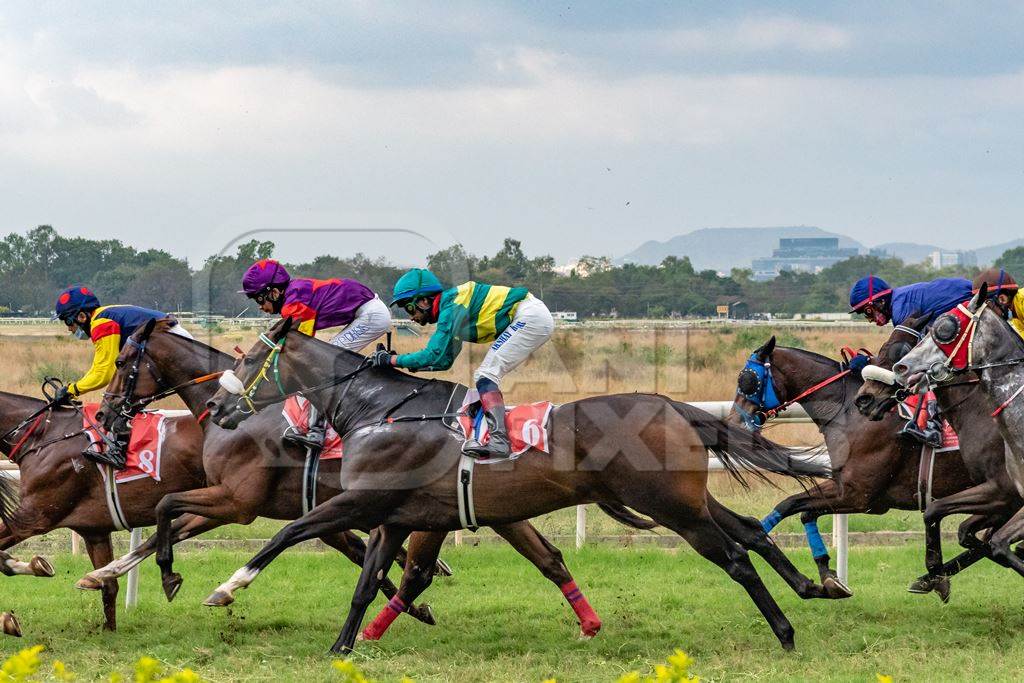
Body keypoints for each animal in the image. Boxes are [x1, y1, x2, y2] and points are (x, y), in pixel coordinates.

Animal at [79, 321, 655, 643]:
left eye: (124, 361)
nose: (104, 414)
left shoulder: (240, 502)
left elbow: (168, 511)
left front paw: (181, 580)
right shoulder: (257, 504)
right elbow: (165, 524)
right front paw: (105, 572)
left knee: (434, 567)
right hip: (496, 509)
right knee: (547, 557)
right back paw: (587, 623)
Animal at [199, 317, 847, 655]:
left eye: (250, 357)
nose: (214, 407)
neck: (379, 410)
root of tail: (671, 404)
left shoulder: (363, 500)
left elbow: (287, 534)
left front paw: (226, 589)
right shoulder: (396, 514)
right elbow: (367, 582)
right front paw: (342, 649)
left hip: (671, 507)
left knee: (735, 556)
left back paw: (786, 632)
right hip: (689, 498)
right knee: (751, 531)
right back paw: (815, 589)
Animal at [729, 335, 974, 598]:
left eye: (746, 380)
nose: (733, 422)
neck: (848, 413)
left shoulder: (859, 496)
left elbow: (792, 504)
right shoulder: (847, 488)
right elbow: (797, 509)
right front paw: (827, 574)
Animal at [851, 315, 1019, 598]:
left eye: (898, 353)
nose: (864, 399)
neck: (980, 409)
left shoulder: (1001, 489)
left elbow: (938, 513)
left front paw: (935, 574)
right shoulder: (1001, 498)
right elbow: (968, 534)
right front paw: (932, 577)